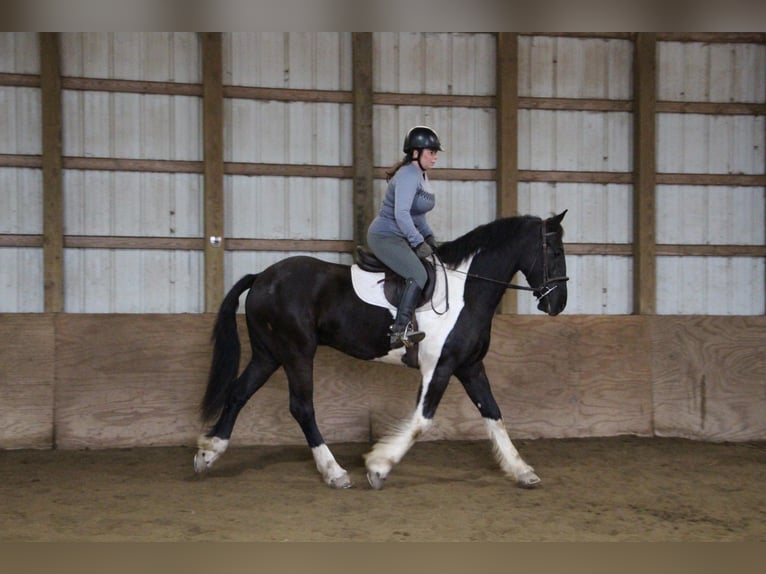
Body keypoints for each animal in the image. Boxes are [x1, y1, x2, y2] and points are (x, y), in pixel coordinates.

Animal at [195, 212, 568, 490]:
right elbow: (422, 421)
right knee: (301, 407)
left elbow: (493, 413)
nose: (558, 305)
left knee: (239, 393)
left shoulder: (470, 367)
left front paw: (522, 470)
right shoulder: (439, 367)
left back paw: (208, 453)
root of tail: (261, 276)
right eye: (554, 252)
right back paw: (334, 472)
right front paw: (378, 467)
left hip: (268, 354)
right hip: (297, 353)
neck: (467, 291)